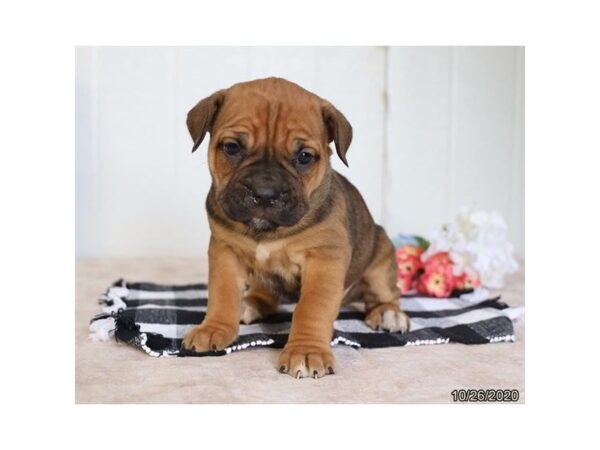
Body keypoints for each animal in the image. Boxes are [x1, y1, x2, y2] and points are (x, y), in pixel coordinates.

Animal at [183, 77, 408, 376]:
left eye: (304, 156)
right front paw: (213, 328)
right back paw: (249, 304)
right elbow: (222, 293)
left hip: (380, 258)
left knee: (387, 293)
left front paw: (306, 351)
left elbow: (312, 307)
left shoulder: (325, 259)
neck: (268, 232)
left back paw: (388, 313)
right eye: (232, 148)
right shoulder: (225, 251)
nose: (265, 193)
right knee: (264, 293)